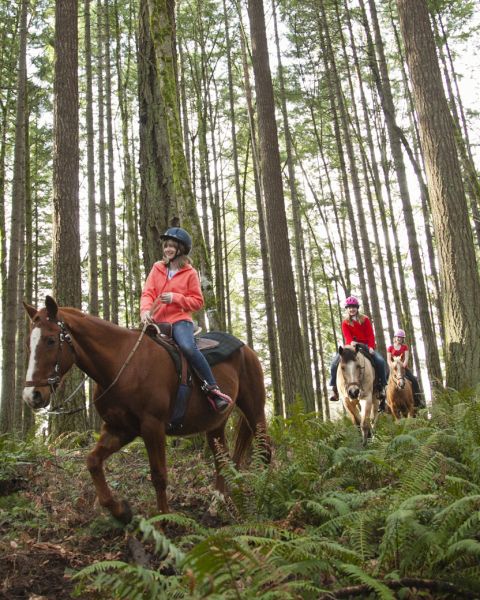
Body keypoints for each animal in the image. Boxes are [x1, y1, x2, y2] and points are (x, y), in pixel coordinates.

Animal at [22, 298, 270, 524]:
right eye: (29, 344)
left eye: (50, 340)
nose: (32, 395)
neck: (123, 365)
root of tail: (247, 348)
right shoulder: (120, 428)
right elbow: (93, 461)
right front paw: (121, 511)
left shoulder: (153, 426)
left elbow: (158, 475)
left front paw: (162, 522)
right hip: (215, 425)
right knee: (223, 461)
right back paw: (214, 507)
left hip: (254, 410)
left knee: (265, 448)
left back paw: (268, 492)